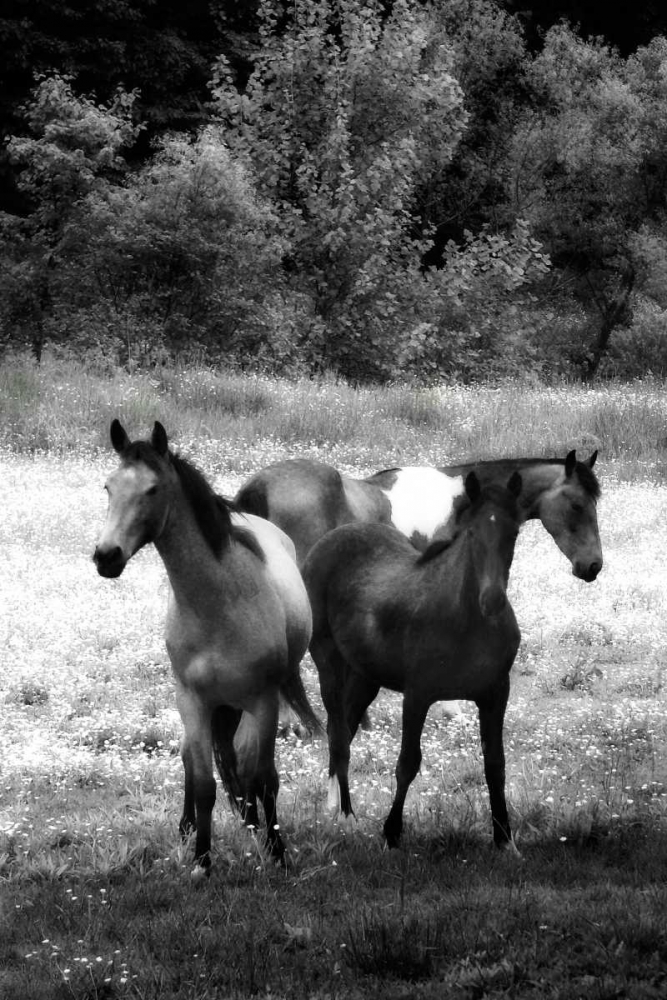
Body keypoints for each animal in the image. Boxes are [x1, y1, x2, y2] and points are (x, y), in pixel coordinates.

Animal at [93, 419, 320, 876]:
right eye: (109, 486)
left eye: (152, 489)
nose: (106, 555)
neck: (220, 604)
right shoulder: (193, 702)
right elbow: (203, 784)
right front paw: (201, 859)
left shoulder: (263, 701)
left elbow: (265, 778)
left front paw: (277, 851)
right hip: (218, 708)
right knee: (198, 759)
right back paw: (190, 829)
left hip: (245, 706)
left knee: (249, 768)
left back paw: (256, 827)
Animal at [301, 471, 523, 850]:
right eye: (472, 533)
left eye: (514, 532)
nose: (492, 600)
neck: (465, 620)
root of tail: (328, 541)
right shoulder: (418, 695)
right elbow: (407, 763)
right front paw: (391, 832)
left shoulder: (495, 695)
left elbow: (496, 764)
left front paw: (504, 839)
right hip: (328, 662)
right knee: (337, 733)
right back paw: (344, 814)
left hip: (365, 676)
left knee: (345, 727)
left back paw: (336, 806)